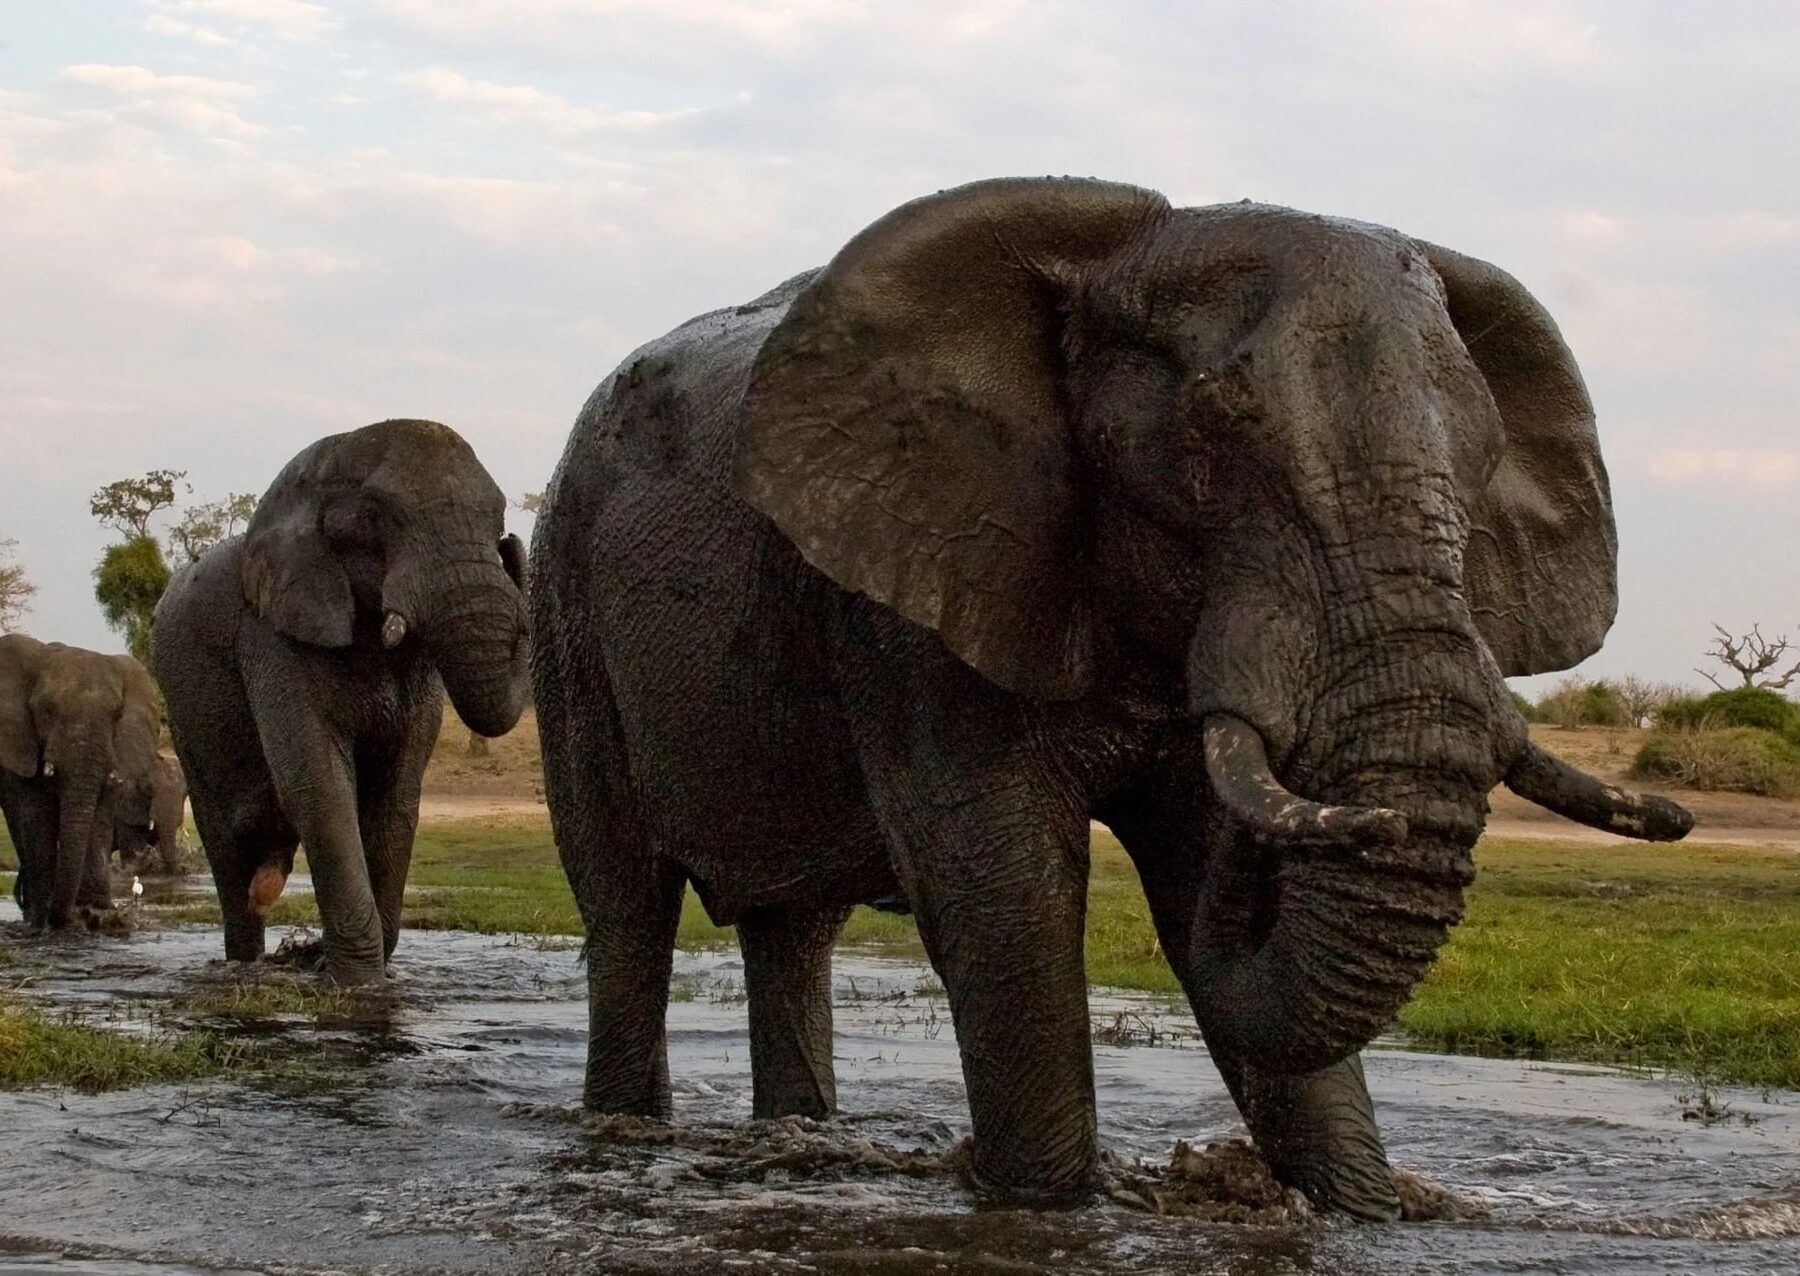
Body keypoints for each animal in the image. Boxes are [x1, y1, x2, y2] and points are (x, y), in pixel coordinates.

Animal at [1, 633, 162, 928]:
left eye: (116, 715)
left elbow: (99, 819)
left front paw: (96, 913)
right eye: (47, 711)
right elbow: (35, 814)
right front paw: (48, 918)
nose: (65, 915)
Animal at [152, 419, 530, 985]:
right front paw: (355, 985)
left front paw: (327, 964)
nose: (513, 545)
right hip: (183, 721)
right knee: (228, 852)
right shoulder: (271, 639)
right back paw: (245, 965)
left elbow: (395, 799)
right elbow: (320, 787)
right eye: (375, 517)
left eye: (498, 519)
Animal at [529, 177, 1693, 1218]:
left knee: (792, 928)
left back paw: (798, 1143)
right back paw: (622, 1141)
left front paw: (1364, 1208)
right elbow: (1004, 889)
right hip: (565, 605)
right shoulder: (919, 597)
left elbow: (1190, 878)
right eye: (1211, 434)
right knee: (627, 907)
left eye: (1485, 456)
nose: (1363, 818)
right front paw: (1047, 1207)